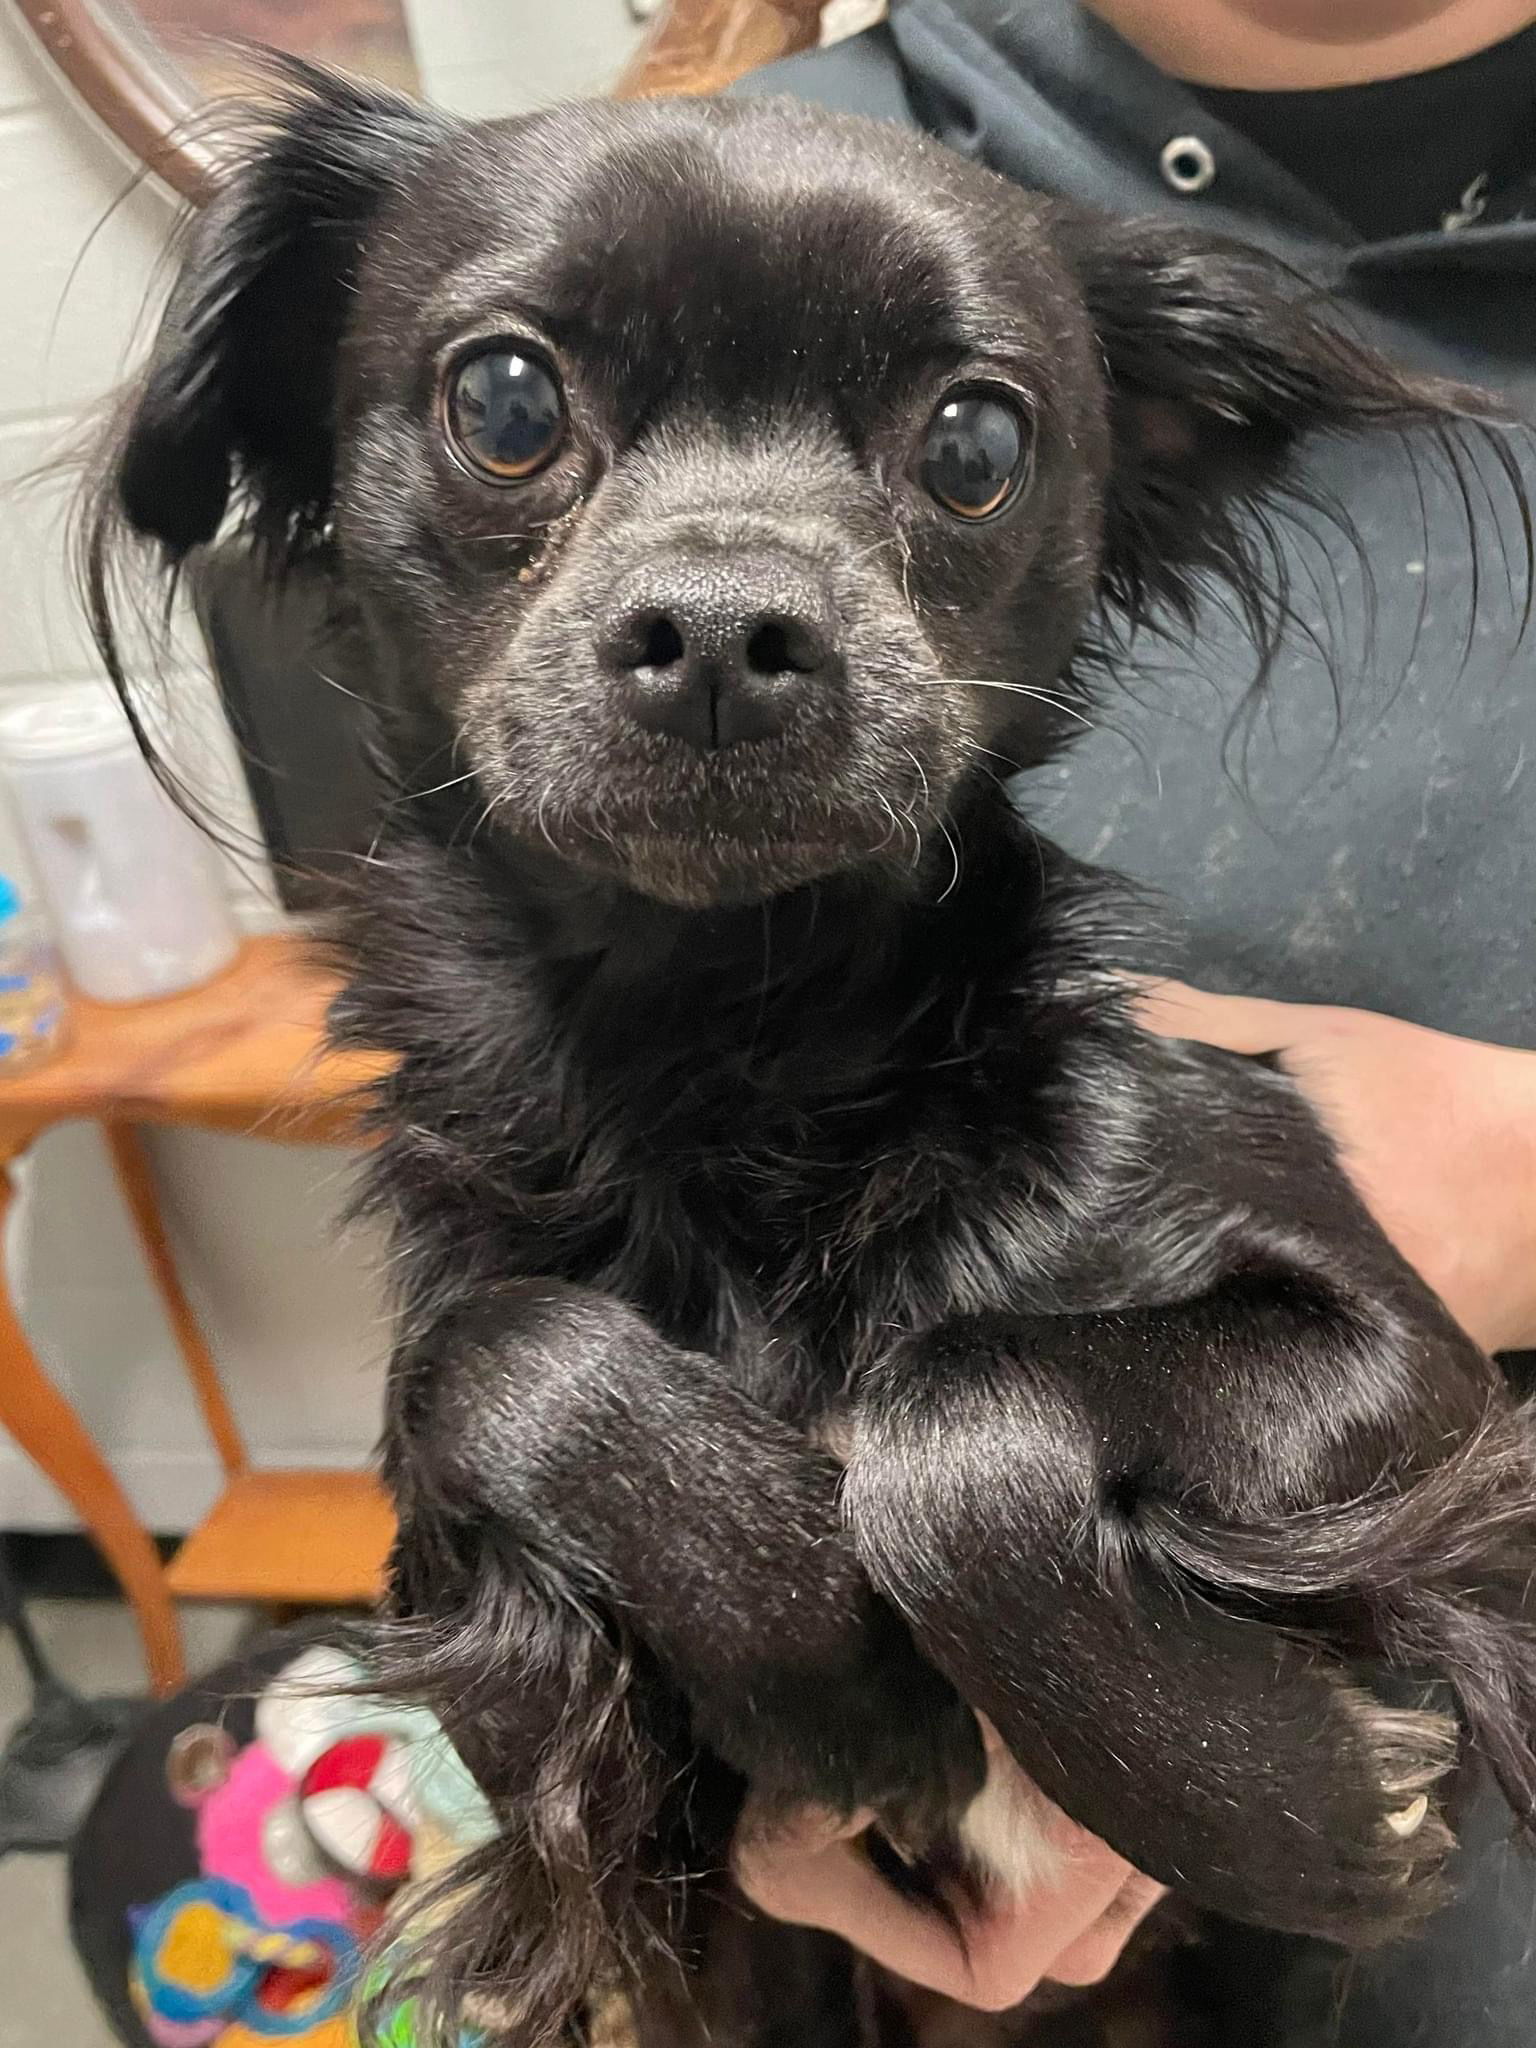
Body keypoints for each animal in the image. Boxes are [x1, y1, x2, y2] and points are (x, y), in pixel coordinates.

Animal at [90, 59, 1536, 2048]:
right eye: (505, 402)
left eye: (976, 442)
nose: (722, 626)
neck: (729, 1049)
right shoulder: (478, 1580)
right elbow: (488, 1355)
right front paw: (817, 1648)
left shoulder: (1417, 1375)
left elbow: (951, 1415)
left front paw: (1298, 1806)